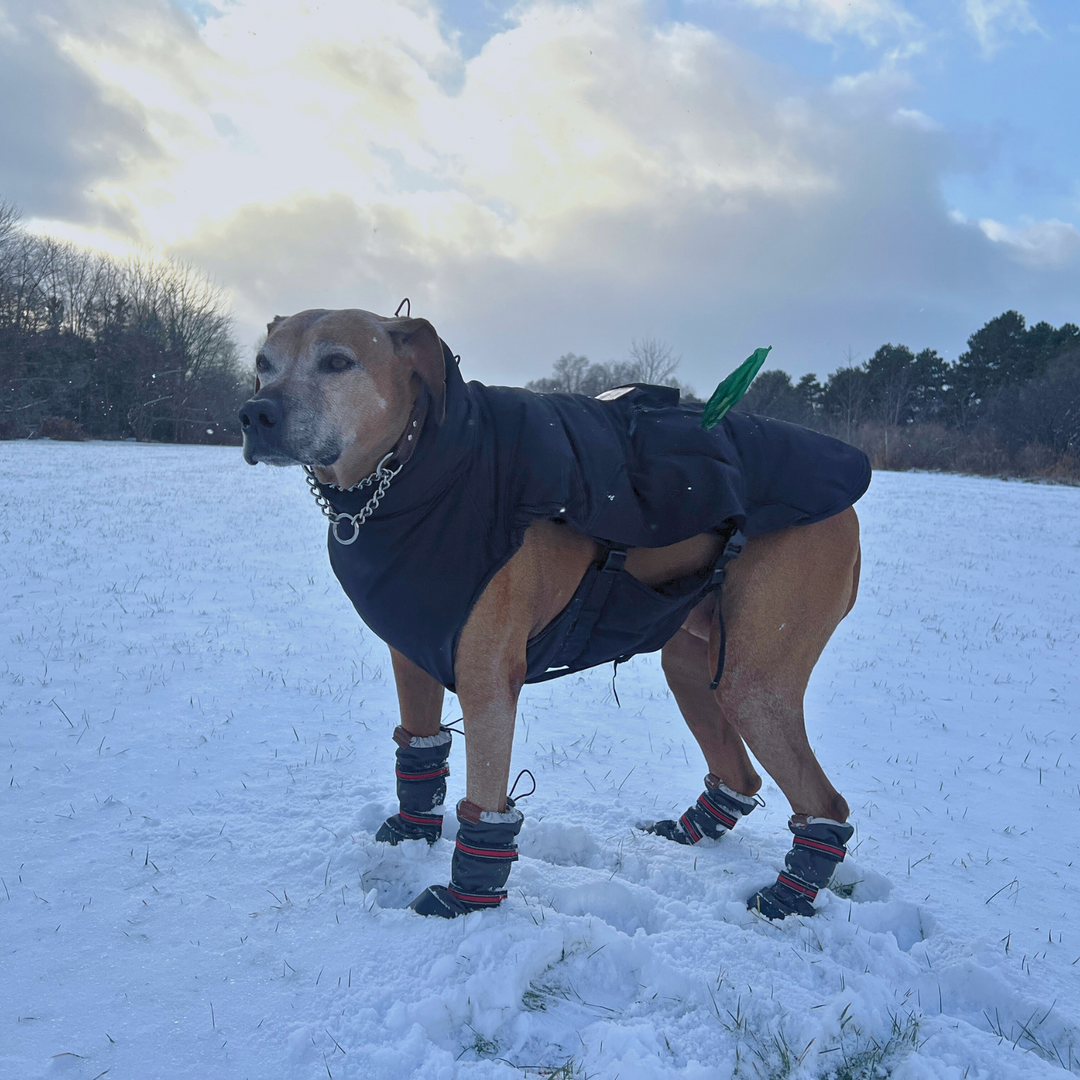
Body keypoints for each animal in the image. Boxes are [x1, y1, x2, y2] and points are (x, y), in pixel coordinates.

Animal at [243, 306, 868, 920]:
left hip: (753, 680)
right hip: (692, 661)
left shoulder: (487, 680)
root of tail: (852, 505)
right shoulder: (413, 653)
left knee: (826, 801)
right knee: (739, 770)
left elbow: (485, 796)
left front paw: (465, 901)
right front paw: (408, 834)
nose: (255, 413)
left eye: (337, 362)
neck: (421, 469)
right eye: (262, 363)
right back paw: (691, 831)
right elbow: (420, 753)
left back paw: (787, 898)